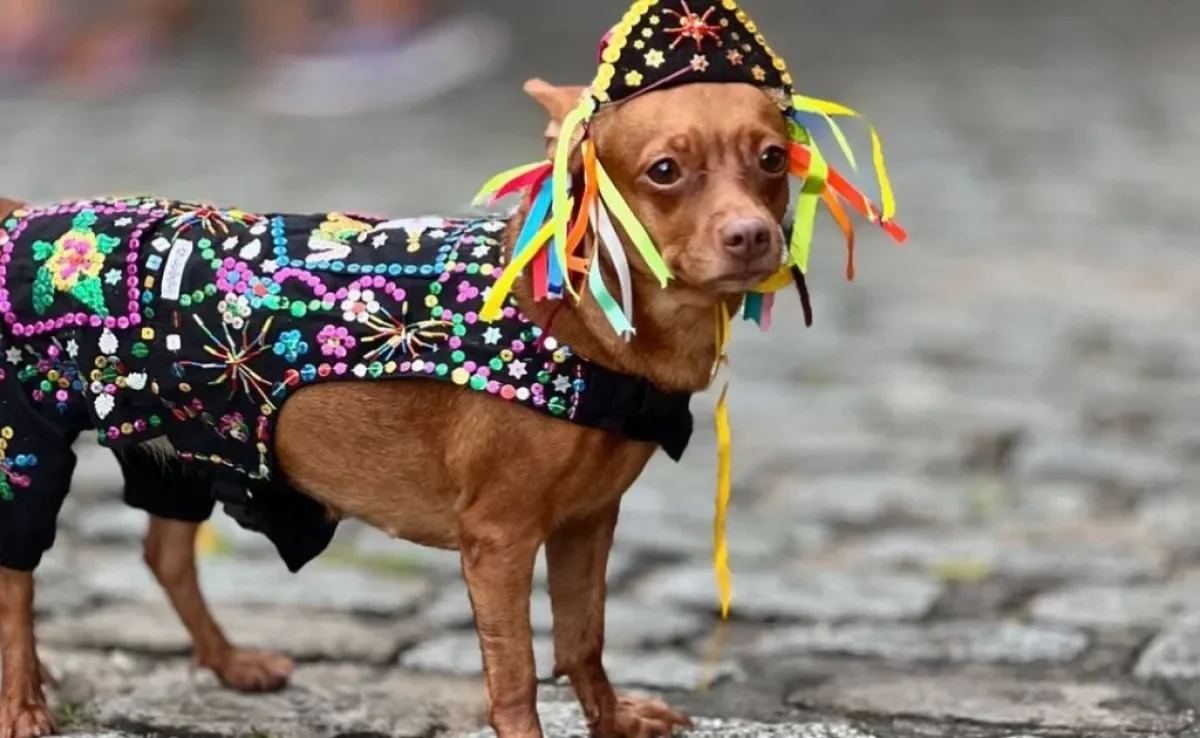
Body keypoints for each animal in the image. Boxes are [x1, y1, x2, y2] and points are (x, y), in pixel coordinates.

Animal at [0, 1, 902, 738]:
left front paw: (612, 719)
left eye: (774, 160)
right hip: (27, 450)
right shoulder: (498, 541)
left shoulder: (587, 525)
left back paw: (226, 664)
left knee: (165, 556)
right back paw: (25, 701)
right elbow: (515, 671)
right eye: (665, 173)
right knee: (18, 581)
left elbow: (584, 637)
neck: (579, 316)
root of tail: (22, 216)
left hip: (182, 448)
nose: (754, 235)